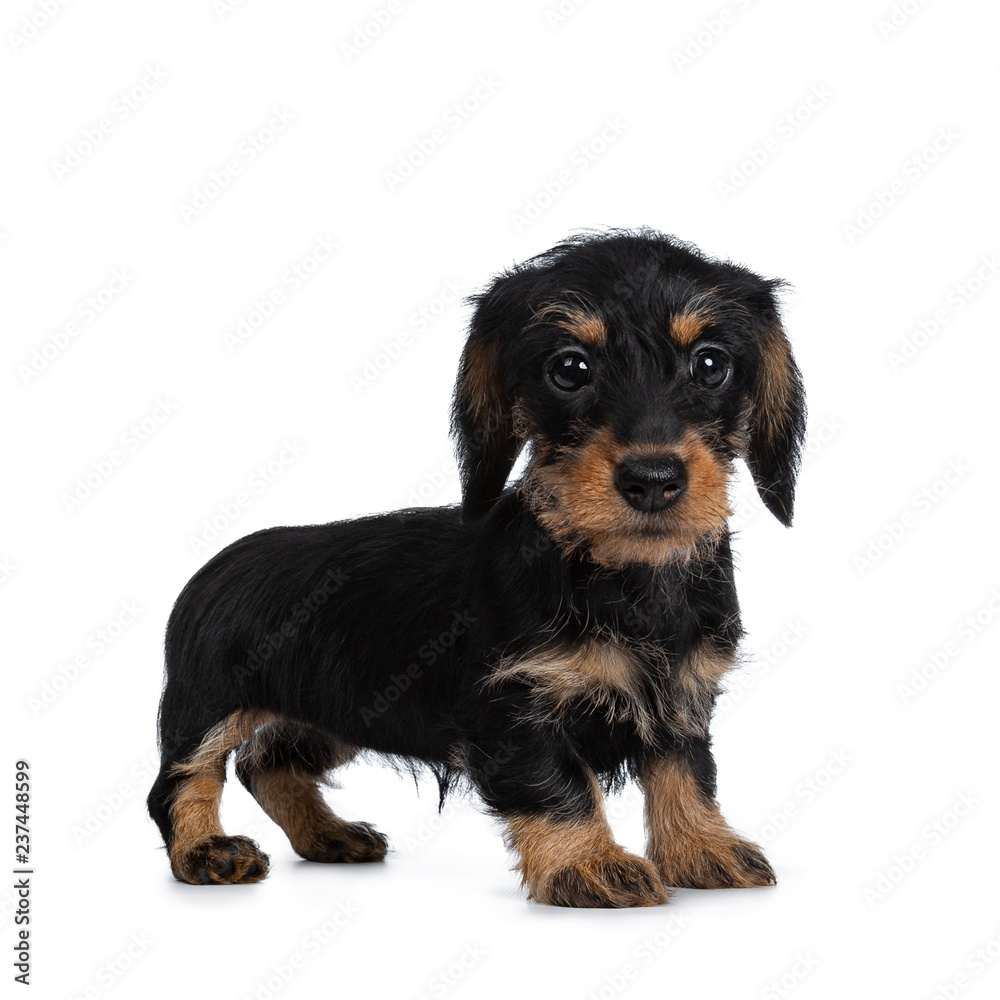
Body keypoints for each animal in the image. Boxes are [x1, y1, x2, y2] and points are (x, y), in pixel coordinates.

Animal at [146, 230, 804, 912]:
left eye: (711, 364)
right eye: (569, 368)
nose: (652, 479)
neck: (621, 573)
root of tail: (217, 566)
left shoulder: (683, 698)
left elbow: (686, 775)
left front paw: (701, 847)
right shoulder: (513, 708)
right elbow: (559, 785)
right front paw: (589, 862)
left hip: (337, 709)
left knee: (270, 767)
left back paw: (329, 836)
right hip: (209, 705)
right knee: (183, 780)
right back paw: (206, 853)